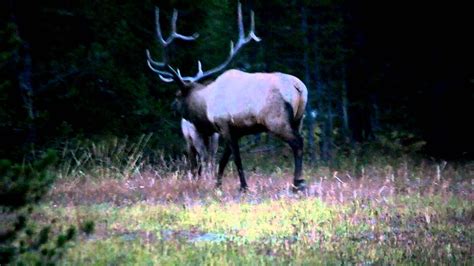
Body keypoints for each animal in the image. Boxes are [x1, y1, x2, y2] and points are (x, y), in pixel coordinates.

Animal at [147, 3, 308, 191]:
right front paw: (217, 184)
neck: (206, 105)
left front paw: (243, 186)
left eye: (177, 95)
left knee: (297, 143)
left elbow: (235, 158)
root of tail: (299, 88)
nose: (172, 106)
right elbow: (224, 159)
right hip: (299, 118)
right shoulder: (237, 130)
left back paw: (298, 182)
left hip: (277, 121)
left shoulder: (223, 125)